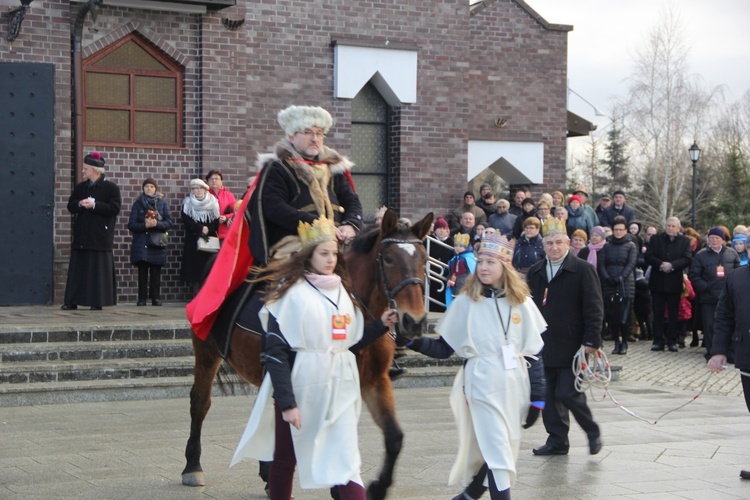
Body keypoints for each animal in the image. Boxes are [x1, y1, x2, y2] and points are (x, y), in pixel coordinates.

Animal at [181, 208, 434, 500]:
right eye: (390, 259)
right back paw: (193, 466)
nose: (414, 321)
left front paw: (375, 487)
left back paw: (267, 473)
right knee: (200, 402)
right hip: (207, 350)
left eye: (425, 259)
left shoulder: (375, 380)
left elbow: (394, 437)